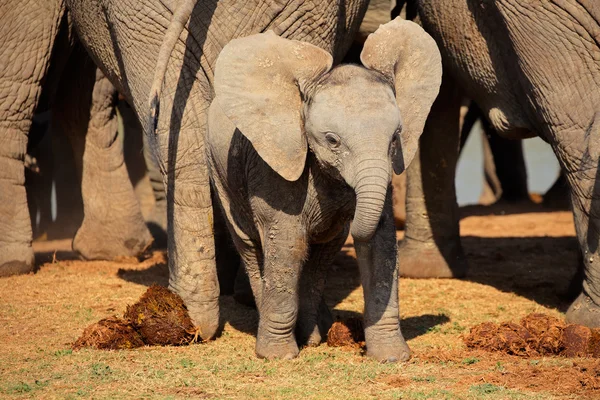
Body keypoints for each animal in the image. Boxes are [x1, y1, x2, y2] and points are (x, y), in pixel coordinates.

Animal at [206, 18, 440, 362]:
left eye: (396, 137)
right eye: (332, 140)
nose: (348, 215)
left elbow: (381, 244)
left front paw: (392, 357)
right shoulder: (276, 164)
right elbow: (287, 244)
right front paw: (278, 356)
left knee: (321, 255)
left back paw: (313, 337)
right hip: (219, 172)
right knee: (250, 246)